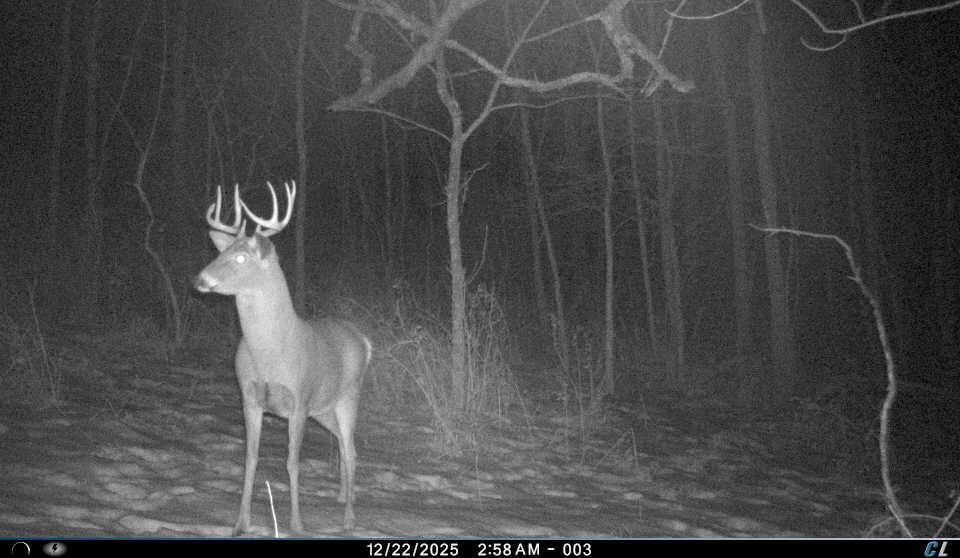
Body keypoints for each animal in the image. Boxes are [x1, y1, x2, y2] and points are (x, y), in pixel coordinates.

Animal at [193, 180, 371, 535]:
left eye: (242, 257)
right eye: (220, 253)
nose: (200, 280)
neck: (270, 353)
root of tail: (363, 339)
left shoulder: (299, 401)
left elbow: (292, 462)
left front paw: (297, 525)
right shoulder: (249, 397)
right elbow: (250, 458)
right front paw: (240, 524)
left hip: (349, 396)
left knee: (351, 450)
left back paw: (349, 519)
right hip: (324, 409)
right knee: (344, 444)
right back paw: (343, 498)